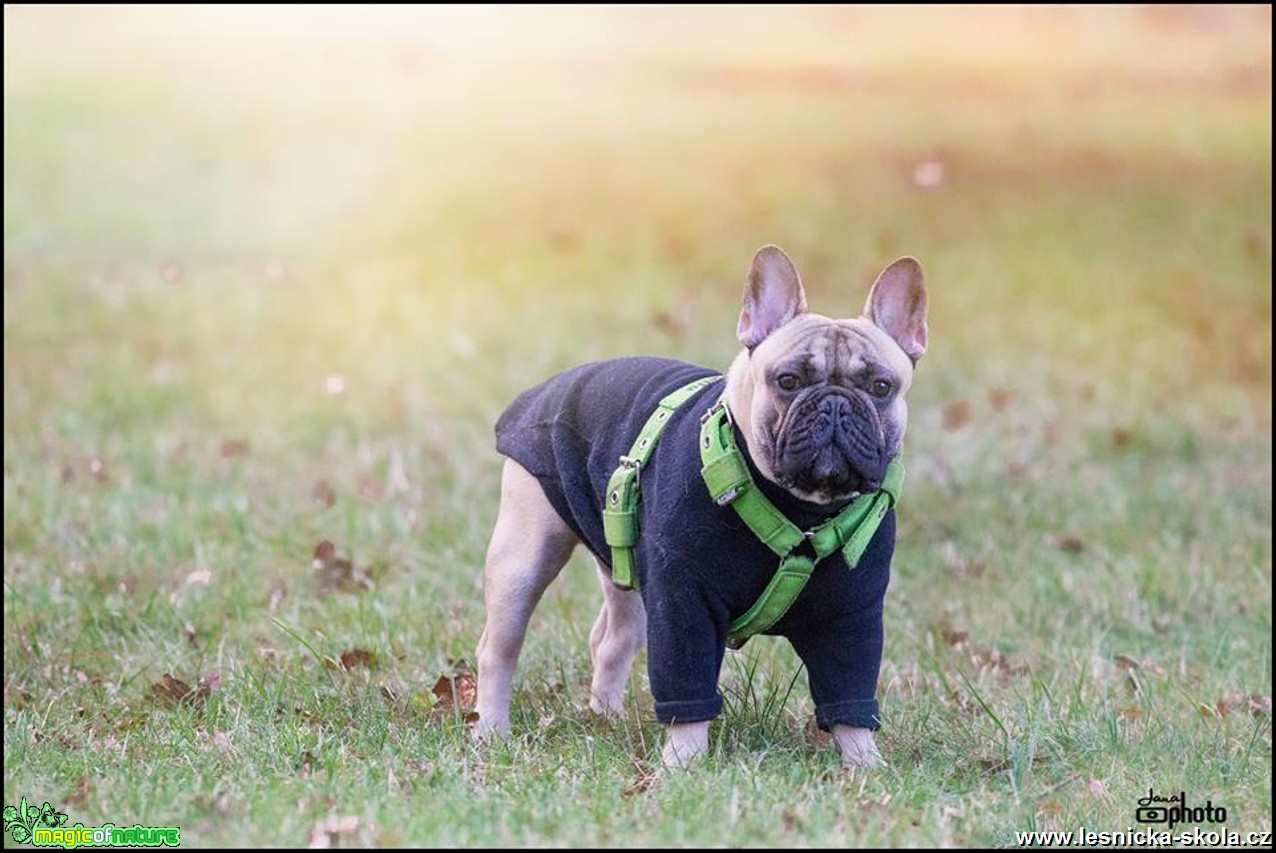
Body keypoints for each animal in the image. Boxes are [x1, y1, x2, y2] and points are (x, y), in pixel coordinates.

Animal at [477, 245, 928, 766]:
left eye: (881, 388)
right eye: (788, 380)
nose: (834, 404)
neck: (800, 508)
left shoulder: (852, 614)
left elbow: (850, 691)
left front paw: (864, 764)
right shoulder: (682, 600)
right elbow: (686, 683)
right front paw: (684, 764)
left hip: (629, 569)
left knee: (612, 639)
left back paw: (605, 717)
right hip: (525, 559)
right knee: (498, 648)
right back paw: (491, 732)